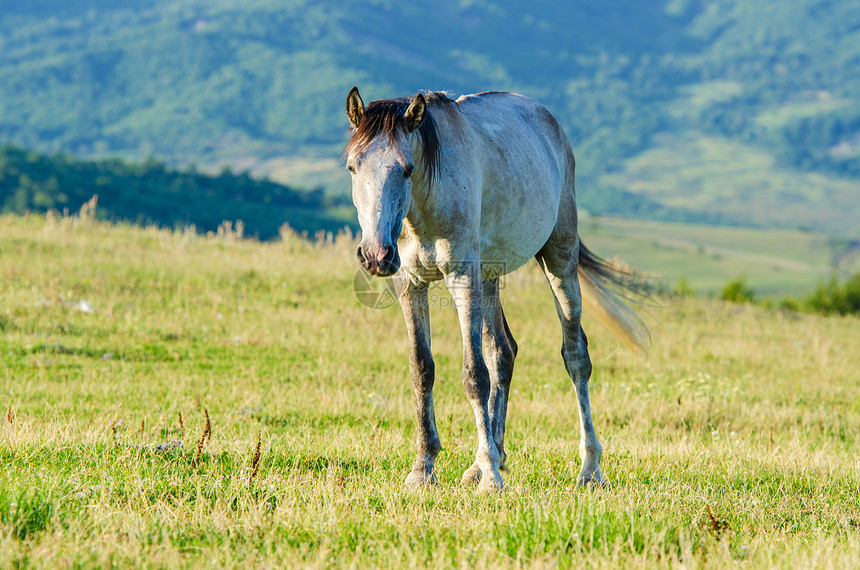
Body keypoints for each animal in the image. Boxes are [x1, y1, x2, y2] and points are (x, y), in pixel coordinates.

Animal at [342, 86, 644, 490]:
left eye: (406, 169)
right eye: (353, 167)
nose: (376, 255)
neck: (427, 201)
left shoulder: (462, 278)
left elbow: (475, 376)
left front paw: (490, 477)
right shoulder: (410, 284)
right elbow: (422, 369)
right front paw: (424, 469)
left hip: (559, 259)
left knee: (576, 357)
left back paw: (588, 468)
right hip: (490, 276)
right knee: (503, 352)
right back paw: (490, 460)